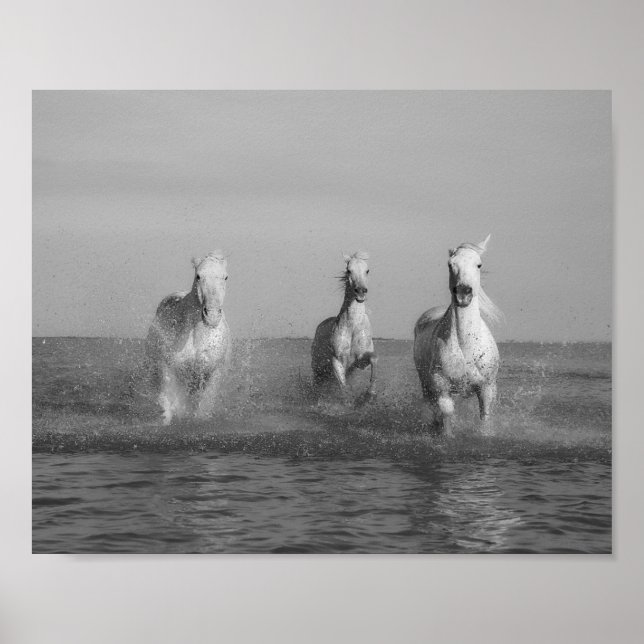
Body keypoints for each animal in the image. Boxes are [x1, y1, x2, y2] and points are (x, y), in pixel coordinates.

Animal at [145, 251, 231, 424]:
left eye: (225, 277)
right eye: (198, 276)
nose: (212, 316)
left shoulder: (213, 373)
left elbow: (203, 408)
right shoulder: (168, 368)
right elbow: (167, 405)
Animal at [311, 251, 377, 404]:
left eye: (367, 270)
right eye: (349, 270)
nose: (361, 291)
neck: (353, 327)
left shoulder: (360, 362)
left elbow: (373, 359)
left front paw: (369, 394)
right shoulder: (337, 360)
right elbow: (344, 387)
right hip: (318, 370)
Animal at [413, 235, 502, 436]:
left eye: (479, 264)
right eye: (450, 264)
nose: (463, 293)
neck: (466, 345)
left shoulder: (487, 387)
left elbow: (485, 417)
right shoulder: (441, 386)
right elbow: (446, 412)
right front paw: (446, 435)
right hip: (425, 384)